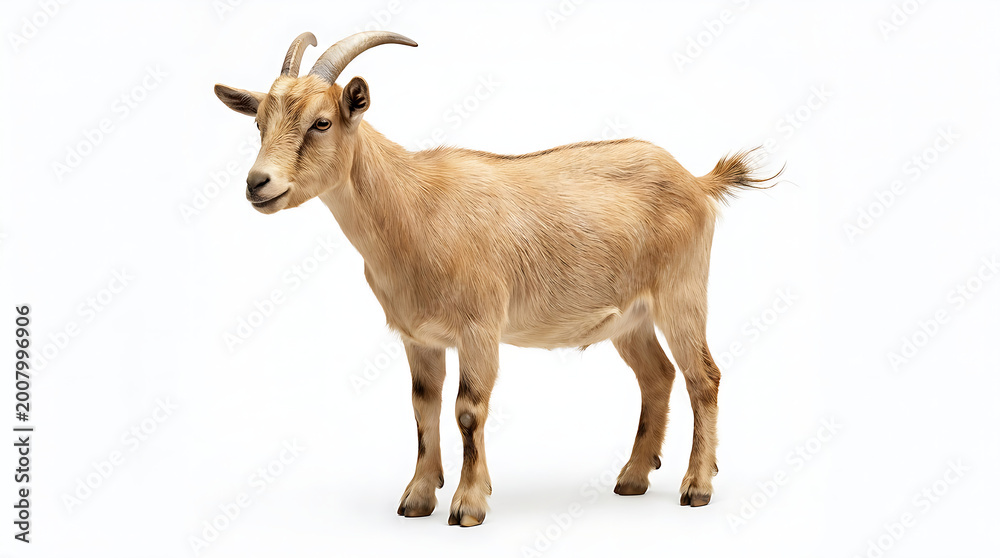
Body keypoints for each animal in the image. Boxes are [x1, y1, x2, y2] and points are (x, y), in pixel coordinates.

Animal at [215, 31, 778, 527]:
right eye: (259, 122)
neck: (413, 208)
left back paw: (697, 486)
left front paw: (468, 505)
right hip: (630, 318)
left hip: (682, 292)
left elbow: (468, 410)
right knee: (656, 375)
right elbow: (423, 407)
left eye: (322, 122)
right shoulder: (419, 337)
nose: (258, 183)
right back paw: (633, 478)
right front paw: (417, 498)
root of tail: (697, 181)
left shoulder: (480, 326)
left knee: (703, 376)